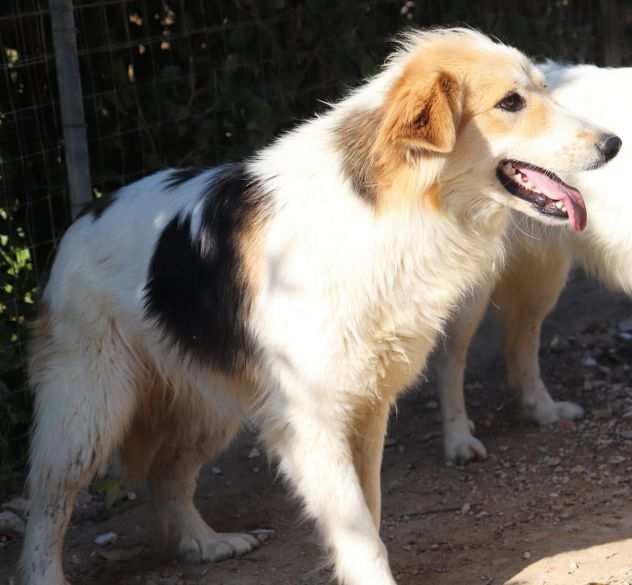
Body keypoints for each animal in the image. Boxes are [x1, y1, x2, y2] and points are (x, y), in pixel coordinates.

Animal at [436, 62, 628, 466]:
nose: (614, 146)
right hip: (475, 293)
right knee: (450, 360)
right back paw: (459, 440)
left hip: (544, 278)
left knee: (519, 343)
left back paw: (544, 411)